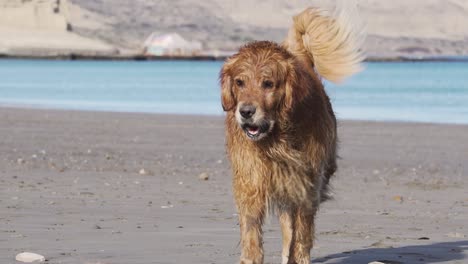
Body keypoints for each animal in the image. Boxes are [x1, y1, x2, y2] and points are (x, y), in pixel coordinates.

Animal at [220, 4, 366, 264]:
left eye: (268, 84)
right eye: (239, 82)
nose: (246, 112)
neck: (277, 139)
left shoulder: (305, 185)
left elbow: (301, 234)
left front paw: (299, 255)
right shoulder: (251, 181)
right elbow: (251, 230)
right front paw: (251, 256)